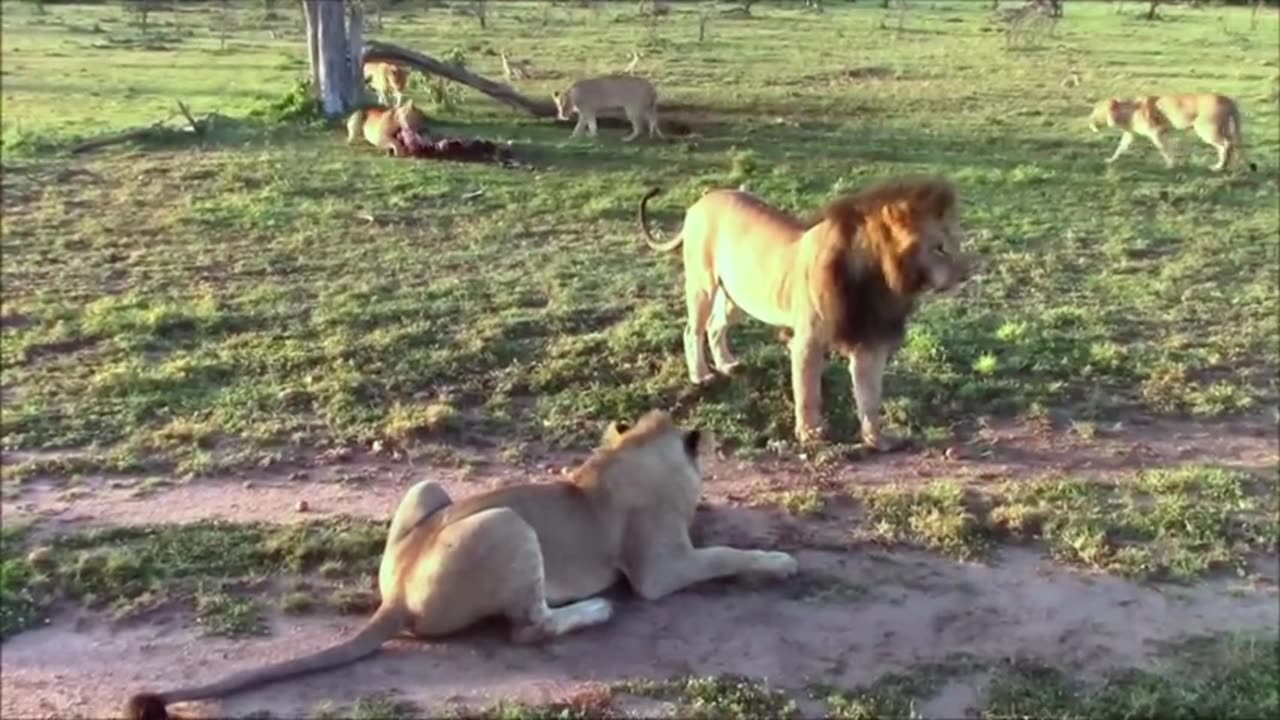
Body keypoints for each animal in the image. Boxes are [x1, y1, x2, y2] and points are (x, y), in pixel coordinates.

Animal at [124, 409, 793, 717]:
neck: (629, 452)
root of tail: (397, 598)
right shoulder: (659, 570)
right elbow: (722, 556)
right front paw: (778, 560)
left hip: (427, 488)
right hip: (508, 526)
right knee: (530, 628)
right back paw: (594, 610)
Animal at [634, 178, 972, 448]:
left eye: (956, 241)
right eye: (939, 247)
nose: (967, 273)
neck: (883, 282)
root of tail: (701, 201)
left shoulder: (870, 341)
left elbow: (870, 395)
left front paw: (876, 438)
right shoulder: (807, 340)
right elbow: (808, 391)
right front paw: (810, 433)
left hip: (739, 296)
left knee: (717, 326)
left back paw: (728, 364)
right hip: (702, 284)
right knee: (692, 330)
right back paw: (701, 374)